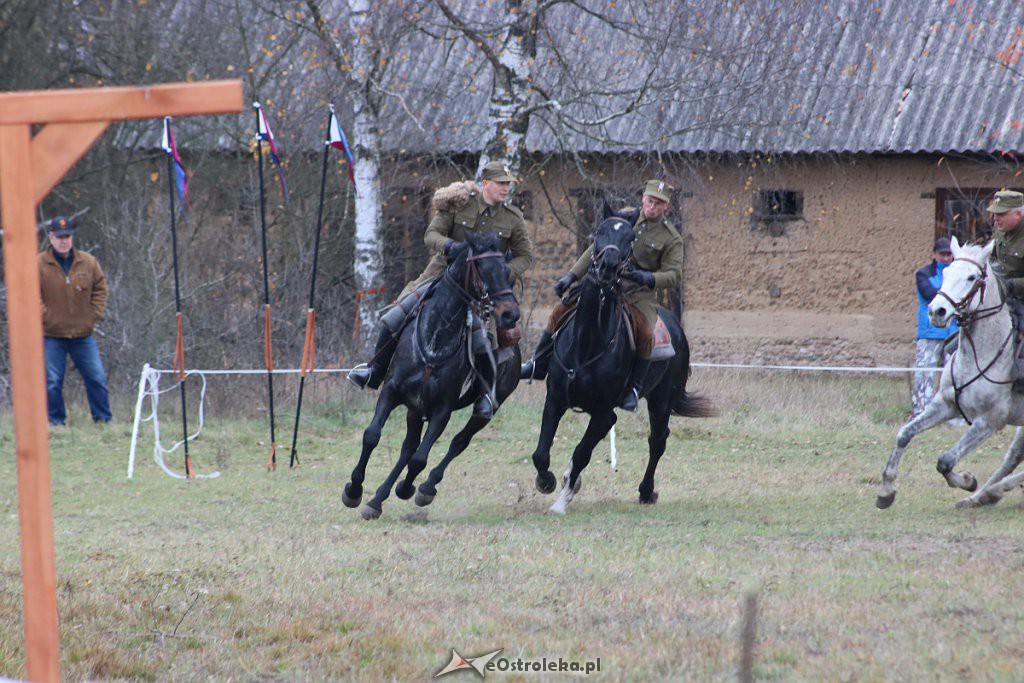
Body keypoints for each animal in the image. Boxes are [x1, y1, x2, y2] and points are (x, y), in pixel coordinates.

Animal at [344, 232, 520, 520]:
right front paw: (354, 490)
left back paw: (424, 486)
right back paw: (377, 499)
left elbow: (420, 458)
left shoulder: (442, 410)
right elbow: (372, 435)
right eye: (482, 268)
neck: (437, 335)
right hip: (415, 409)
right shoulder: (392, 392)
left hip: (487, 405)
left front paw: (407, 489)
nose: (510, 315)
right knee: (408, 448)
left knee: (458, 442)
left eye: (508, 272)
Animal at [528, 208, 712, 511]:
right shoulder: (555, 399)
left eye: (629, 238)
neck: (587, 343)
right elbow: (541, 453)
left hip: (661, 402)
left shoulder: (604, 413)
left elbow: (581, 453)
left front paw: (564, 496)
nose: (608, 266)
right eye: (599, 231)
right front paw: (548, 482)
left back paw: (646, 491)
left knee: (657, 441)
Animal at [872, 237, 1024, 509]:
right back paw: (982, 495)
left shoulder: (989, 421)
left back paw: (990, 491)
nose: (937, 311)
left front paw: (967, 480)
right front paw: (886, 491)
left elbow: (945, 461)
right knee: (1013, 457)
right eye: (946, 272)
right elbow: (904, 434)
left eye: (972, 277)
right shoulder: (944, 405)